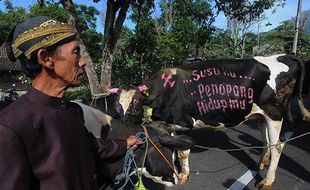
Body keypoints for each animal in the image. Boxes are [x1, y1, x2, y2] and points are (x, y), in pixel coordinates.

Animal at [106, 54, 310, 189]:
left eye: (136, 107)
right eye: (116, 108)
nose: (123, 131)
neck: (165, 91)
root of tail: (281, 55)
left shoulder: (184, 122)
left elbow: (183, 152)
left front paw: (183, 175)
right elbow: (173, 148)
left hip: (274, 113)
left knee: (278, 146)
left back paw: (267, 181)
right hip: (260, 115)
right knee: (267, 141)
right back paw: (261, 164)